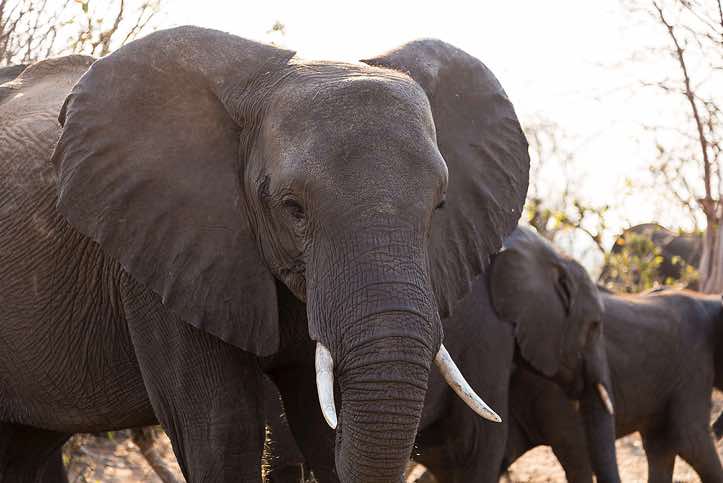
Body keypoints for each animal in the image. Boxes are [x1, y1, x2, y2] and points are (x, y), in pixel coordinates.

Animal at [503, 287, 723, 483]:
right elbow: (690, 441)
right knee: (577, 457)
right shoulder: (692, 364)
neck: (709, 300)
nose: (717, 429)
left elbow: (660, 446)